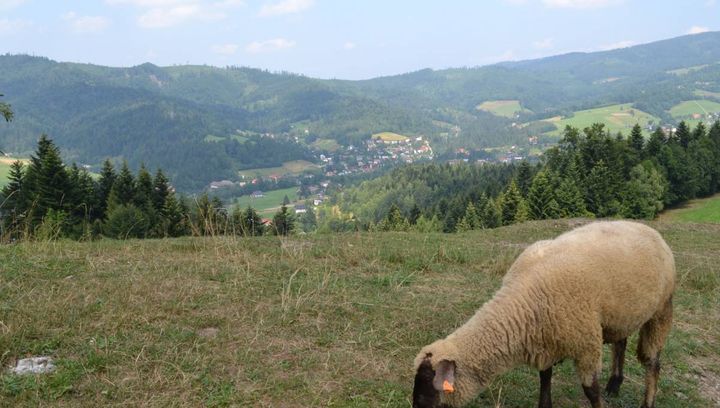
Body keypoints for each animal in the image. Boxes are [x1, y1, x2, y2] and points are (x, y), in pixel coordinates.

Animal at [414, 222, 676, 406]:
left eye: (428, 383)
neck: (523, 301)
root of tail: (650, 230)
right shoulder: (545, 340)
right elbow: (545, 377)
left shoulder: (586, 343)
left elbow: (591, 391)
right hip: (621, 314)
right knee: (621, 342)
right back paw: (614, 385)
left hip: (661, 309)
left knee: (653, 363)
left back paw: (647, 401)